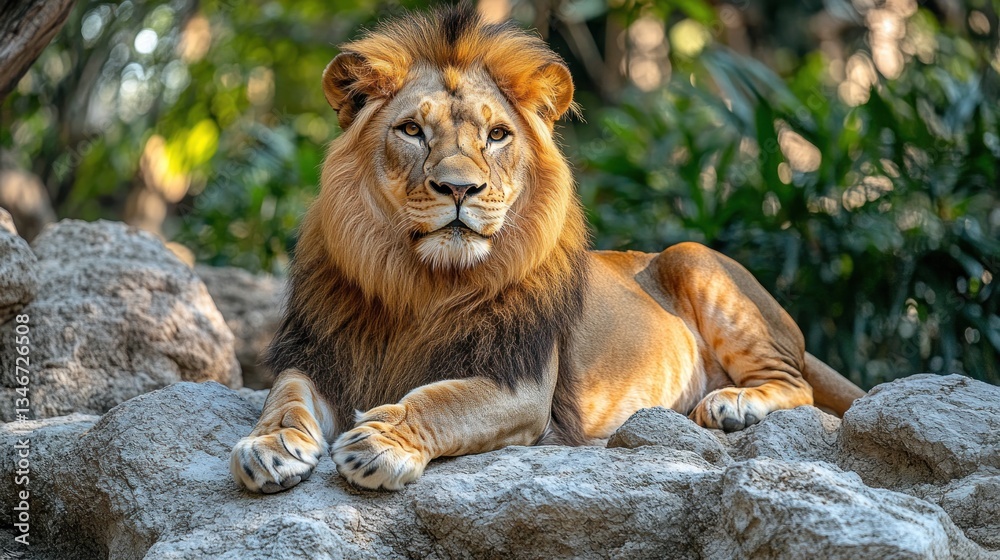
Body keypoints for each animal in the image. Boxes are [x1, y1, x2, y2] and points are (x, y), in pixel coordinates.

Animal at [230, 6, 865, 492]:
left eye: (496, 135)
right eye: (411, 130)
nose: (458, 188)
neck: (422, 282)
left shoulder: (520, 383)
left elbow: (442, 401)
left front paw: (380, 442)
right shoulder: (322, 354)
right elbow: (283, 395)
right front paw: (269, 445)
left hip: (691, 255)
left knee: (799, 386)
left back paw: (733, 403)